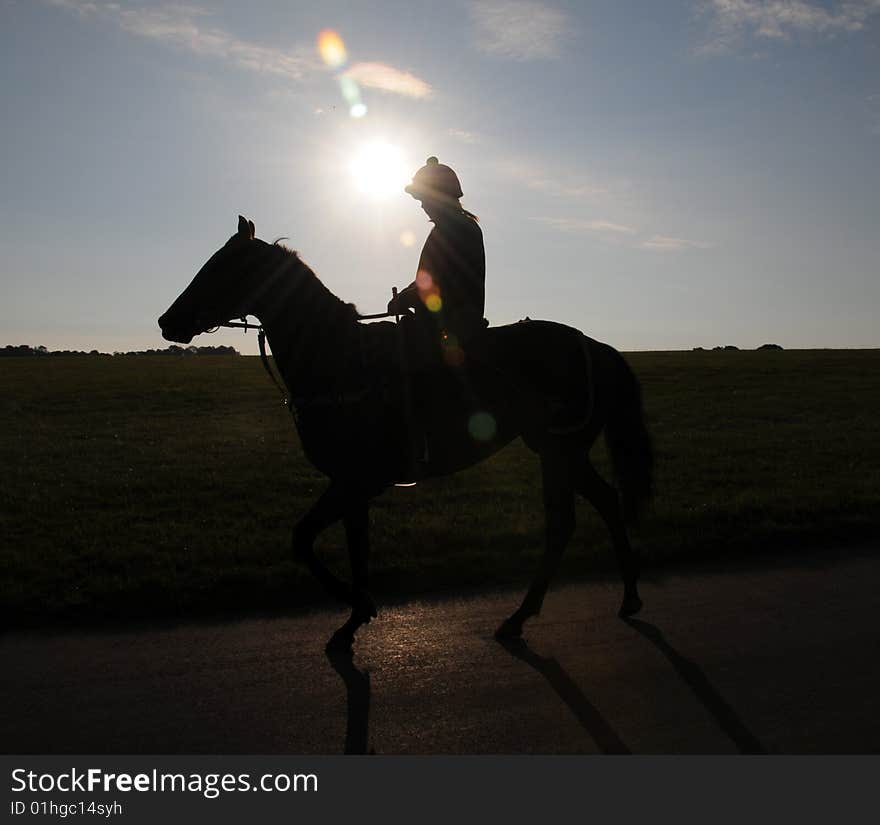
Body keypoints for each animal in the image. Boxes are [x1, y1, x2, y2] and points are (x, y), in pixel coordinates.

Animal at [158, 216, 652, 652]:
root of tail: (594, 346)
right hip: (564, 452)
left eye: (223, 266)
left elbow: (312, 541)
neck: (339, 359)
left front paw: (356, 609)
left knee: (562, 524)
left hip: (557, 451)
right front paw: (355, 613)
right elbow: (343, 545)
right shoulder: (351, 487)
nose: (167, 321)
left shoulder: (354, 482)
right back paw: (626, 595)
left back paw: (520, 616)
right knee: (605, 502)